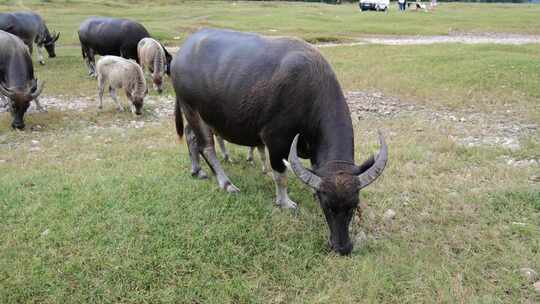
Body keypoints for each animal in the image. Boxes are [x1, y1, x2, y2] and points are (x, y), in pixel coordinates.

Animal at [173, 29, 388, 256]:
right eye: (327, 205)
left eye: (354, 204)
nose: (342, 247)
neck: (308, 92)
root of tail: (181, 53)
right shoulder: (275, 140)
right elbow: (280, 176)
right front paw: (285, 202)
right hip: (193, 110)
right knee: (206, 147)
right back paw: (227, 184)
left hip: (195, 115)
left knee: (190, 138)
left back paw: (197, 170)